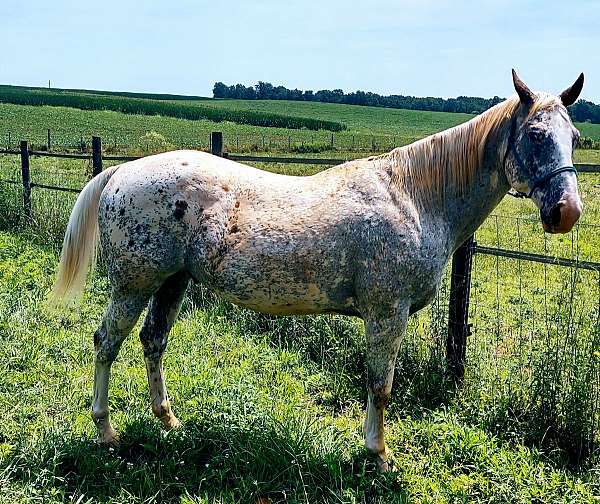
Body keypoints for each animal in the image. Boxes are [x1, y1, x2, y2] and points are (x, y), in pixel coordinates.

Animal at [52, 70, 584, 468]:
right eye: (536, 135)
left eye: (575, 138)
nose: (567, 212)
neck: (415, 198)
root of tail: (121, 171)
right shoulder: (387, 314)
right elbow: (381, 385)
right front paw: (378, 453)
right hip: (134, 283)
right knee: (106, 342)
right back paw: (105, 430)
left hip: (172, 282)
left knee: (153, 341)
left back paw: (168, 420)